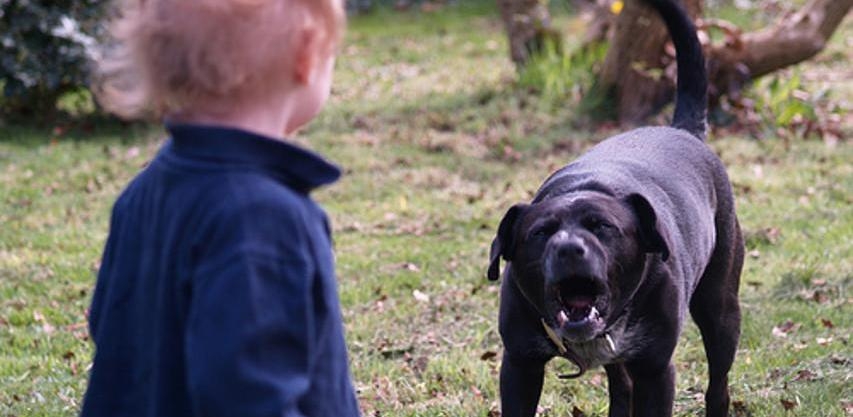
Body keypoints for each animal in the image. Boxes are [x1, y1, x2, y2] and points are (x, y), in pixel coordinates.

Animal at [490, 0, 744, 416]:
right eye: (540, 233)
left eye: (602, 226)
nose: (569, 248)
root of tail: (683, 130)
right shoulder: (520, 365)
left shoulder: (655, 370)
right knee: (620, 386)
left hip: (720, 309)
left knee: (718, 384)